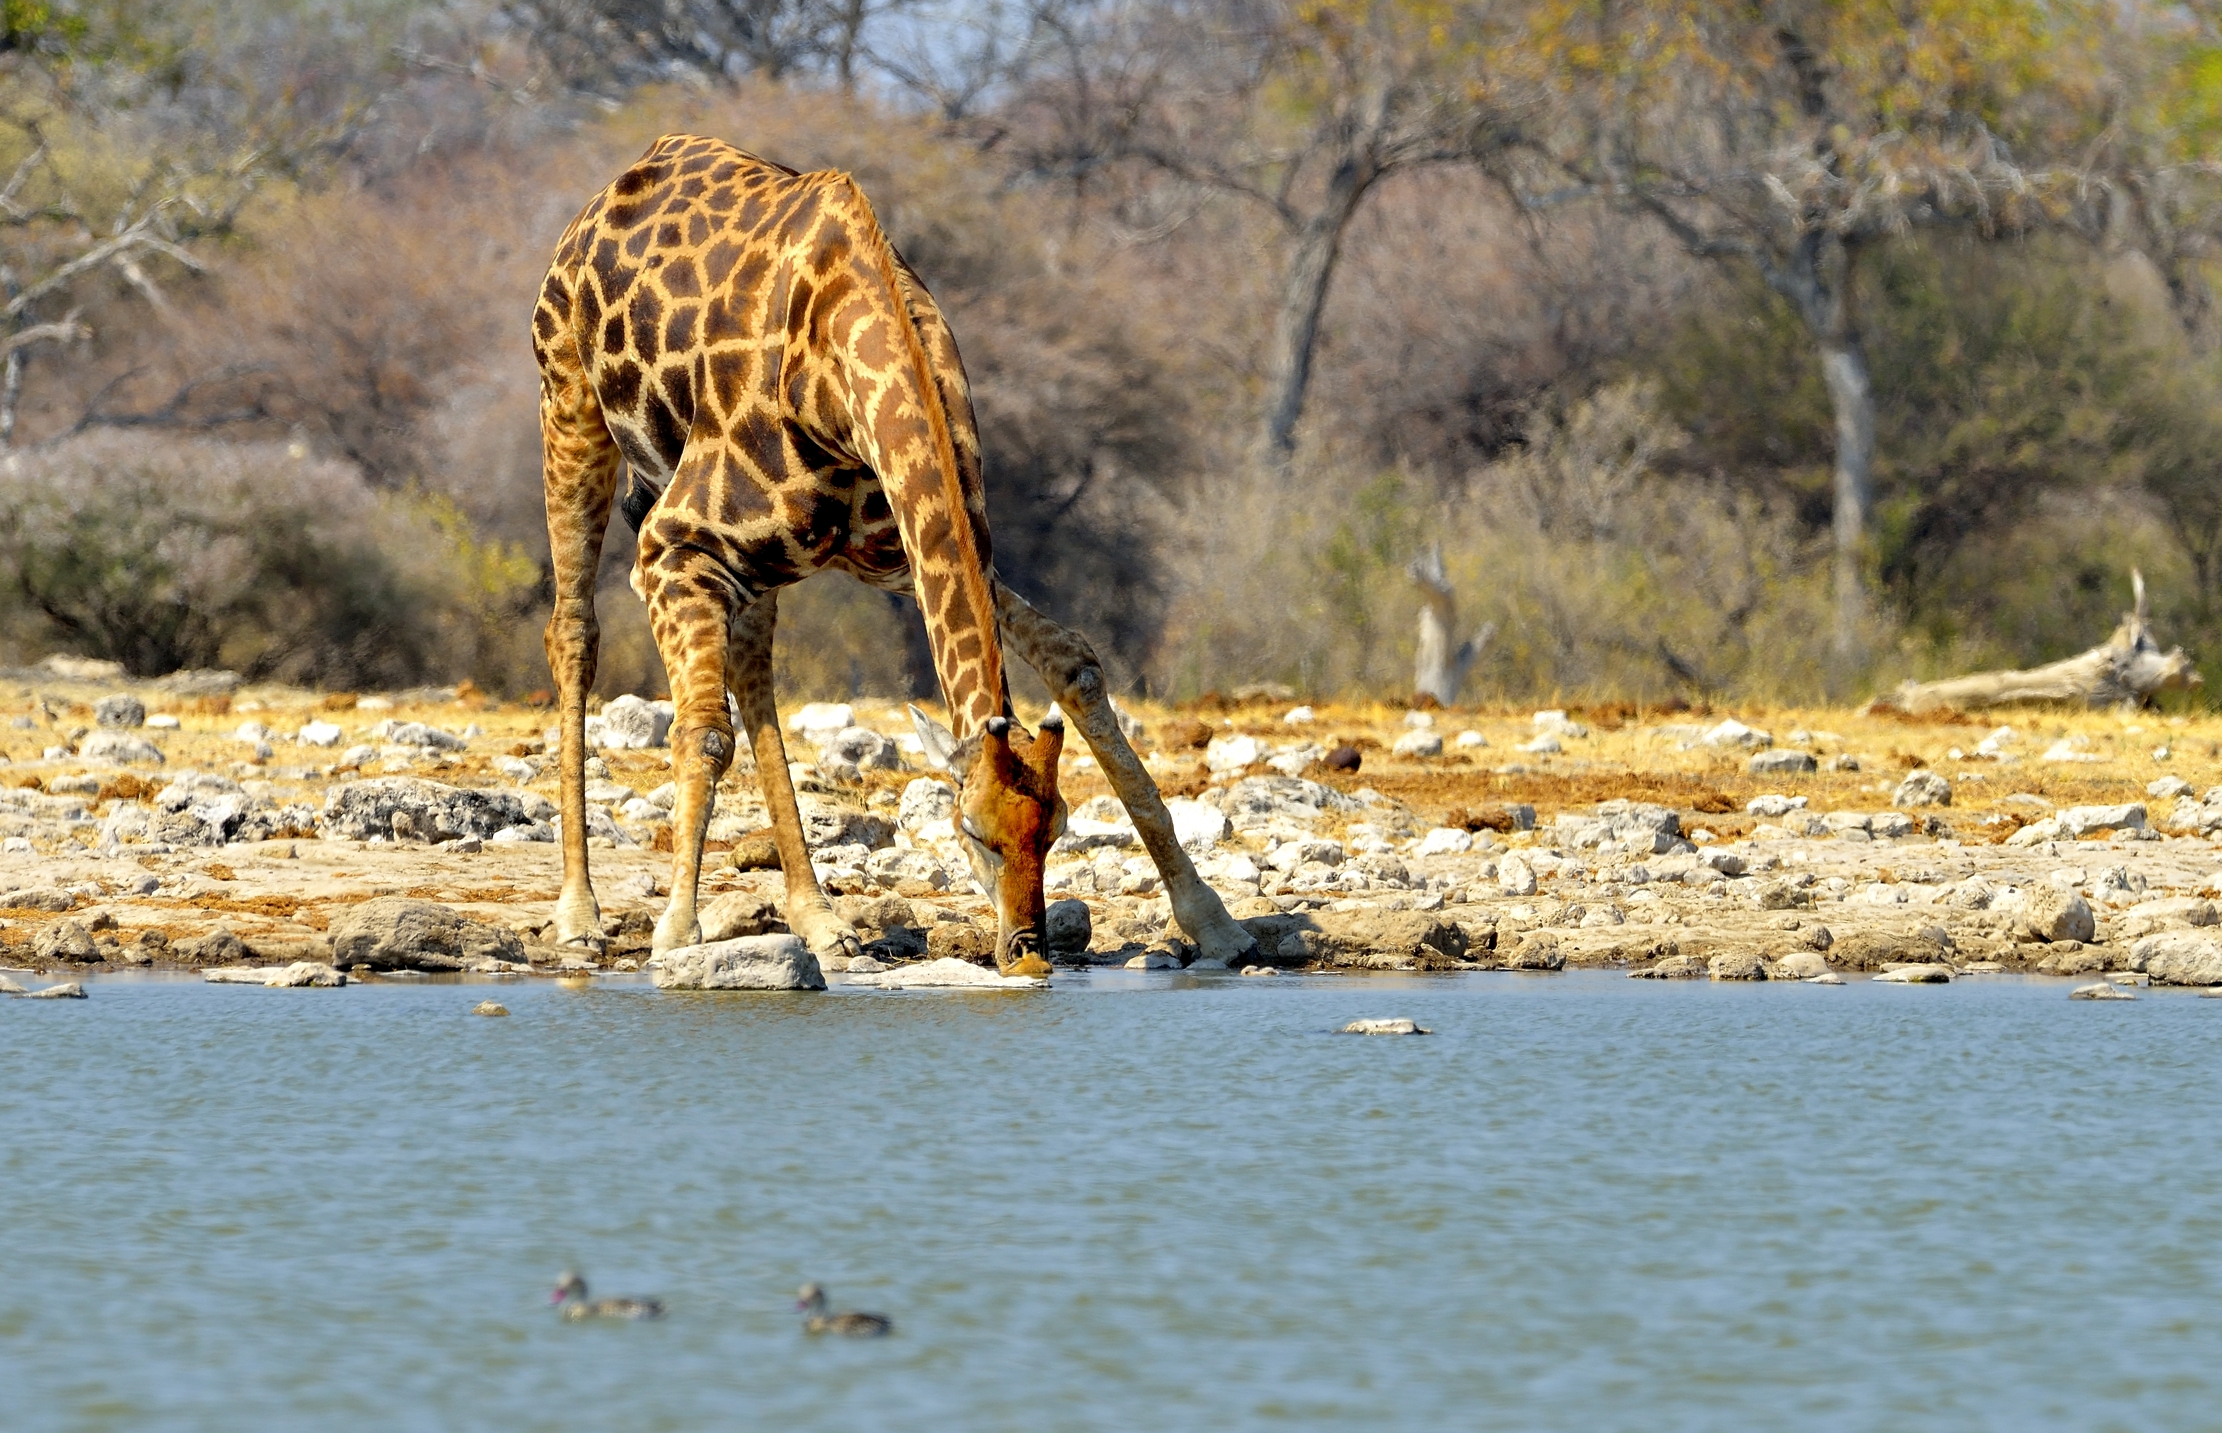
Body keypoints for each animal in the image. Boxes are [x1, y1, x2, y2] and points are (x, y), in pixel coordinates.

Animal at [532, 133, 1259, 974]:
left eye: (1058, 831)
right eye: (973, 833)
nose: (1026, 951)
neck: (844, 372)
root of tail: (611, 190)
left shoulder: (902, 553)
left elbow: (1075, 664)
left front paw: (1214, 919)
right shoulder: (672, 546)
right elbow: (703, 732)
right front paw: (677, 935)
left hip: (764, 558)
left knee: (754, 672)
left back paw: (819, 918)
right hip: (571, 409)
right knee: (575, 633)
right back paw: (579, 913)